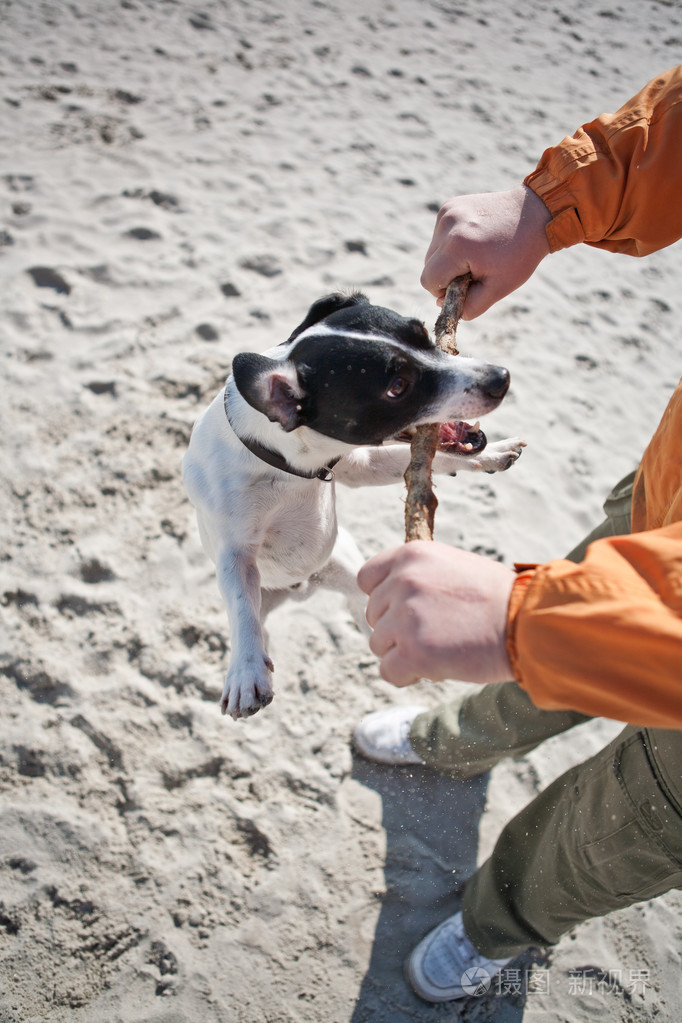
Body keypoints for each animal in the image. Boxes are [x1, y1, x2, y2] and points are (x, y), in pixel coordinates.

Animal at [180, 290, 523, 720]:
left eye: (424, 335)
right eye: (398, 386)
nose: (501, 377)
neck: (282, 459)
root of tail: (301, 589)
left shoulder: (357, 465)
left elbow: (429, 458)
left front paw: (491, 454)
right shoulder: (234, 552)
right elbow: (242, 605)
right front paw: (245, 671)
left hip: (351, 571)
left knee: (365, 611)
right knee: (258, 621)